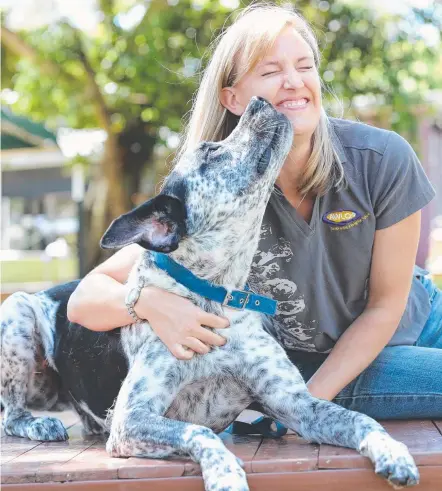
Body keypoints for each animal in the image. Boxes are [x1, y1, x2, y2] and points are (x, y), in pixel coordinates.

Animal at [0, 97, 418, 491]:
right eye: (211, 151)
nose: (260, 100)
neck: (214, 293)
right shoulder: (131, 419)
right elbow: (199, 431)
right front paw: (225, 475)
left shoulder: (295, 404)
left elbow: (361, 419)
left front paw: (394, 452)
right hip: (16, 311)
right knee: (9, 413)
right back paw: (38, 425)